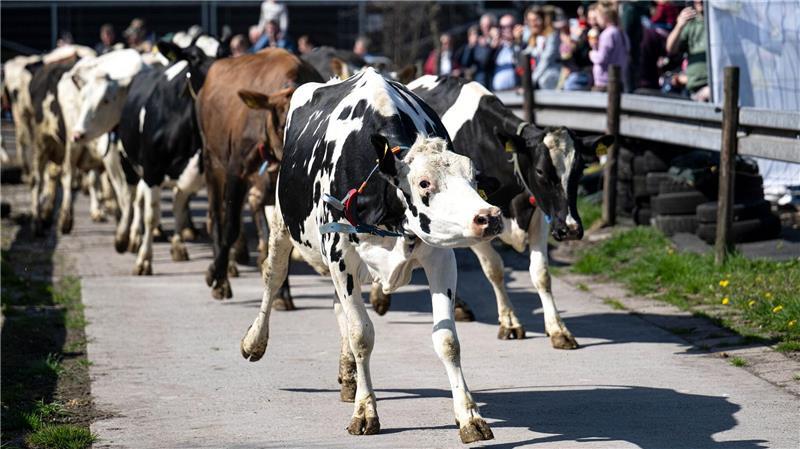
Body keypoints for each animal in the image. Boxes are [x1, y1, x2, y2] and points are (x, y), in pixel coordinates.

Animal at [196, 48, 323, 299]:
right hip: (212, 160)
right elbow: (231, 227)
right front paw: (217, 275)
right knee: (216, 215)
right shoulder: (236, 170)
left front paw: (282, 293)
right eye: (283, 124)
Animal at [239, 68, 500, 444]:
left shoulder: (439, 257)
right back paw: (254, 341)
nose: (489, 216)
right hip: (280, 222)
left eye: (474, 178)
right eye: (424, 183)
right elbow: (361, 334)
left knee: (339, 310)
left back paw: (348, 376)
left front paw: (469, 416)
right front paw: (366, 412)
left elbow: (447, 340)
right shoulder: (340, 255)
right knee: (273, 275)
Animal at [404, 75, 612, 348]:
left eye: (580, 170)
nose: (570, 229)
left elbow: (541, 273)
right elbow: (495, 269)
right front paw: (510, 322)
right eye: (541, 171)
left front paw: (558, 329)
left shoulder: (540, 215)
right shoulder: (477, 223)